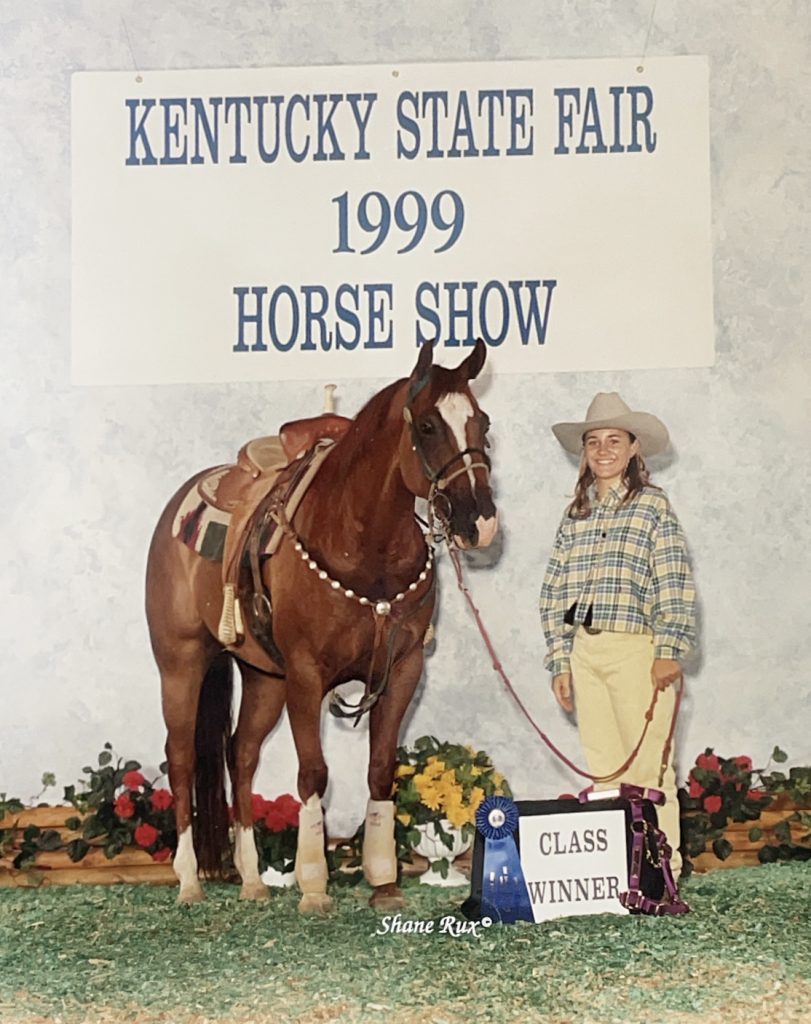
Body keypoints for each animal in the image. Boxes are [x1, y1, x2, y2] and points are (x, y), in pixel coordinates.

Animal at [147, 339, 499, 909]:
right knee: (180, 758)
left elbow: (380, 769)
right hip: (180, 663)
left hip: (264, 678)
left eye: (482, 422)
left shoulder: (403, 670)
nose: (481, 522)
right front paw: (313, 884)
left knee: (241, 755)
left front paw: (384, 881)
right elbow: (313, 771)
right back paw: (188, 881)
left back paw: (251, 879)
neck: (365, 546)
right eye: (426, 426)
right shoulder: (307, 675)